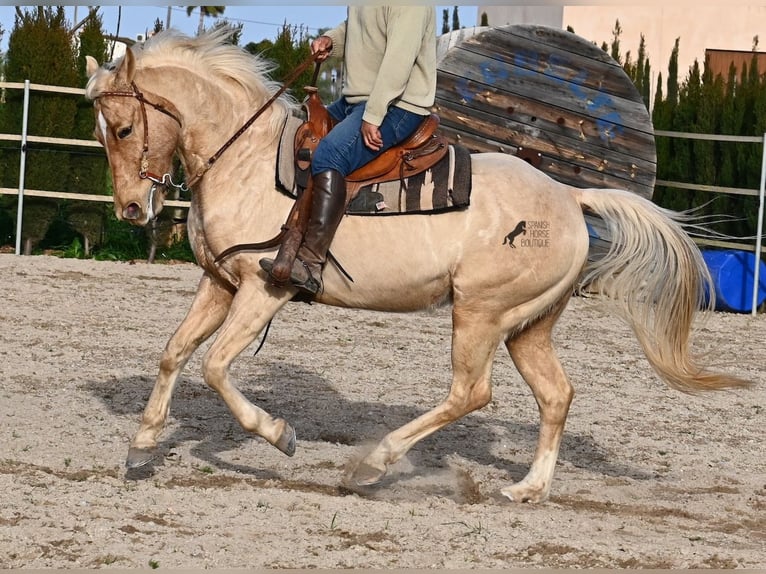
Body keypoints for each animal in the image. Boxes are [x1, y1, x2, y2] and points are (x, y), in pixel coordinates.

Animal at [85, 28, 752, 504]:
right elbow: (174, 352)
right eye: (102, 135)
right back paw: (528, 488)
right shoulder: (219, 283)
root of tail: (569, 197)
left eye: (124, 127)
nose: (131, 208)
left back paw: (372, 465)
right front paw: (143, 442)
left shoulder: (262, 289)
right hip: (527, 325)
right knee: (556, 395)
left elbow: (218, 367)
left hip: (480, 313)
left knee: (470, 392)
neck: (244, 159)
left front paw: (279, 434)